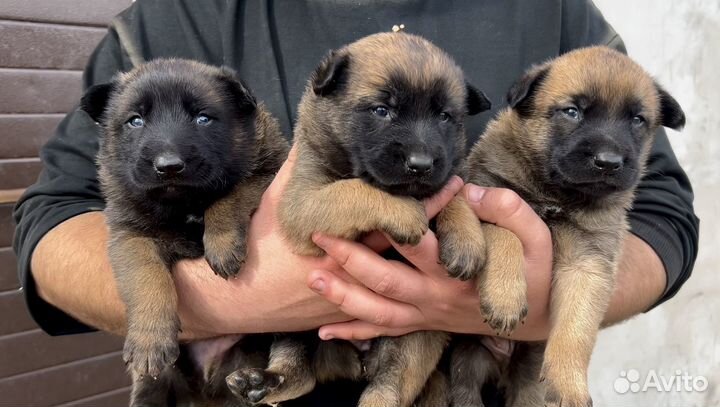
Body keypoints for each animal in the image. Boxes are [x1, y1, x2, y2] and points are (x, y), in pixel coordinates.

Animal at [80, 58, 288, 407]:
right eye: (135, 121)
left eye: (203, 118)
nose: (169, 166)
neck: (183, 204)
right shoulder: (130, 236)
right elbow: (147, 278)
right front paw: (150, 338)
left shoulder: (267, 172)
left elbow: (230, 195)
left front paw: (222, 244)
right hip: (157, 383)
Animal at [450, 47, 688, 407]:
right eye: (572, 112)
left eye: (637, 120)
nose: (608, 162)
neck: (557, 193)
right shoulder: (492, 196)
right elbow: (506, 236)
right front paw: (505, 297)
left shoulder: (588, 263)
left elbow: (577, 328)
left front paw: (568, 383)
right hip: (470, 360)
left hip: (527, 378)